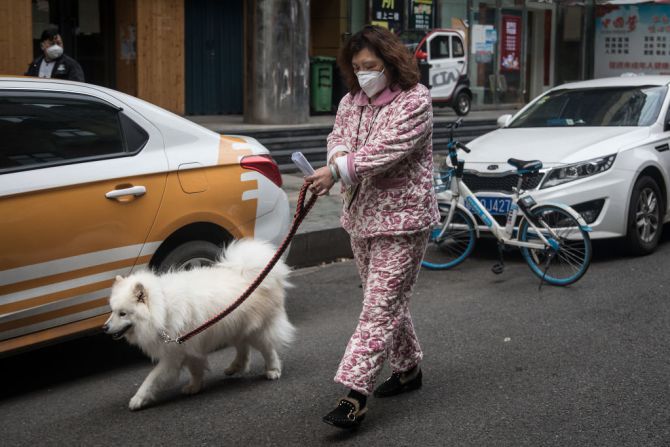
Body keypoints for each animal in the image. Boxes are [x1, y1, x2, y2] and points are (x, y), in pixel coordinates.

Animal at [103, 240, 296, 412]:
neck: (162, 308)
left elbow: (151, 379)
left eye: (123, 313)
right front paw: (194, 387)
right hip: (234, 327)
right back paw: (235, 367)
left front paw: (138, 399)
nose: (104, 328)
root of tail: (250, 273)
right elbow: (195, 370)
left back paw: (273, 370)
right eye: (112, 311)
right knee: (243, 348)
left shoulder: (174, 354)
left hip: (257, 330)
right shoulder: (188, 347)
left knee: (268, 349)